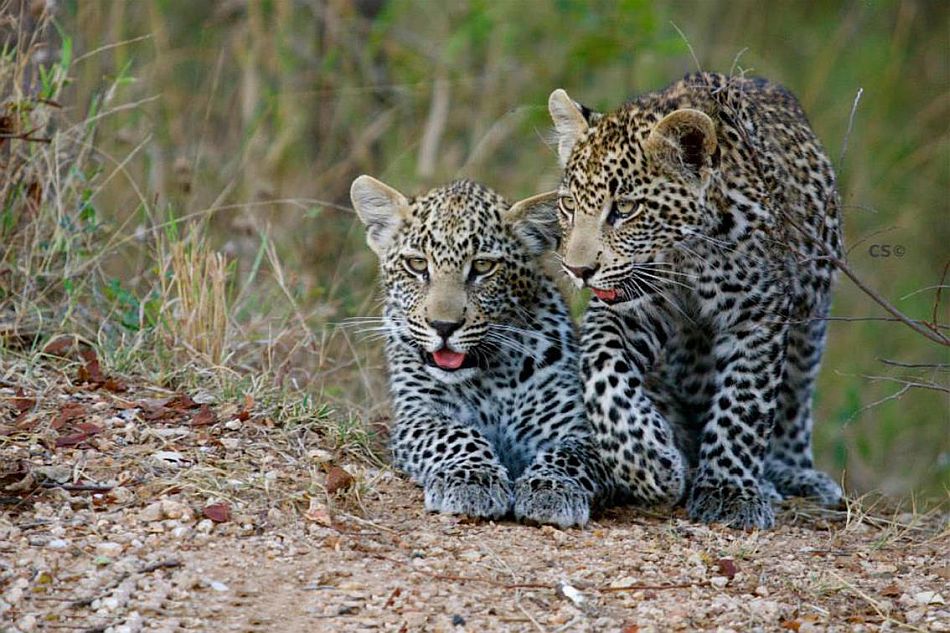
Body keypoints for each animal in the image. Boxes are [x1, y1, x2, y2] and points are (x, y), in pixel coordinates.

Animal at [350, 175, 612, 528]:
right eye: (417, 264)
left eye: (483, 266)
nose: (443, 326)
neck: (489, 376)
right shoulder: (420, 414)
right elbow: (454, 435)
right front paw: (473, 480)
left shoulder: (583, 429)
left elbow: (570, 455)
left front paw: (551, 488)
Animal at [546, 72, 844, 529]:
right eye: (567, 205)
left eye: (625, 208)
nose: (578, 270)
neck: (684, 255)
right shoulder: (626, 310)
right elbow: (603, 374)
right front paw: (651, 463)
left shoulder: (758, 315)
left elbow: (745, 402)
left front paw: (729, 490)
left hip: (811, 319)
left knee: (793, 398)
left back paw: (791, 475)